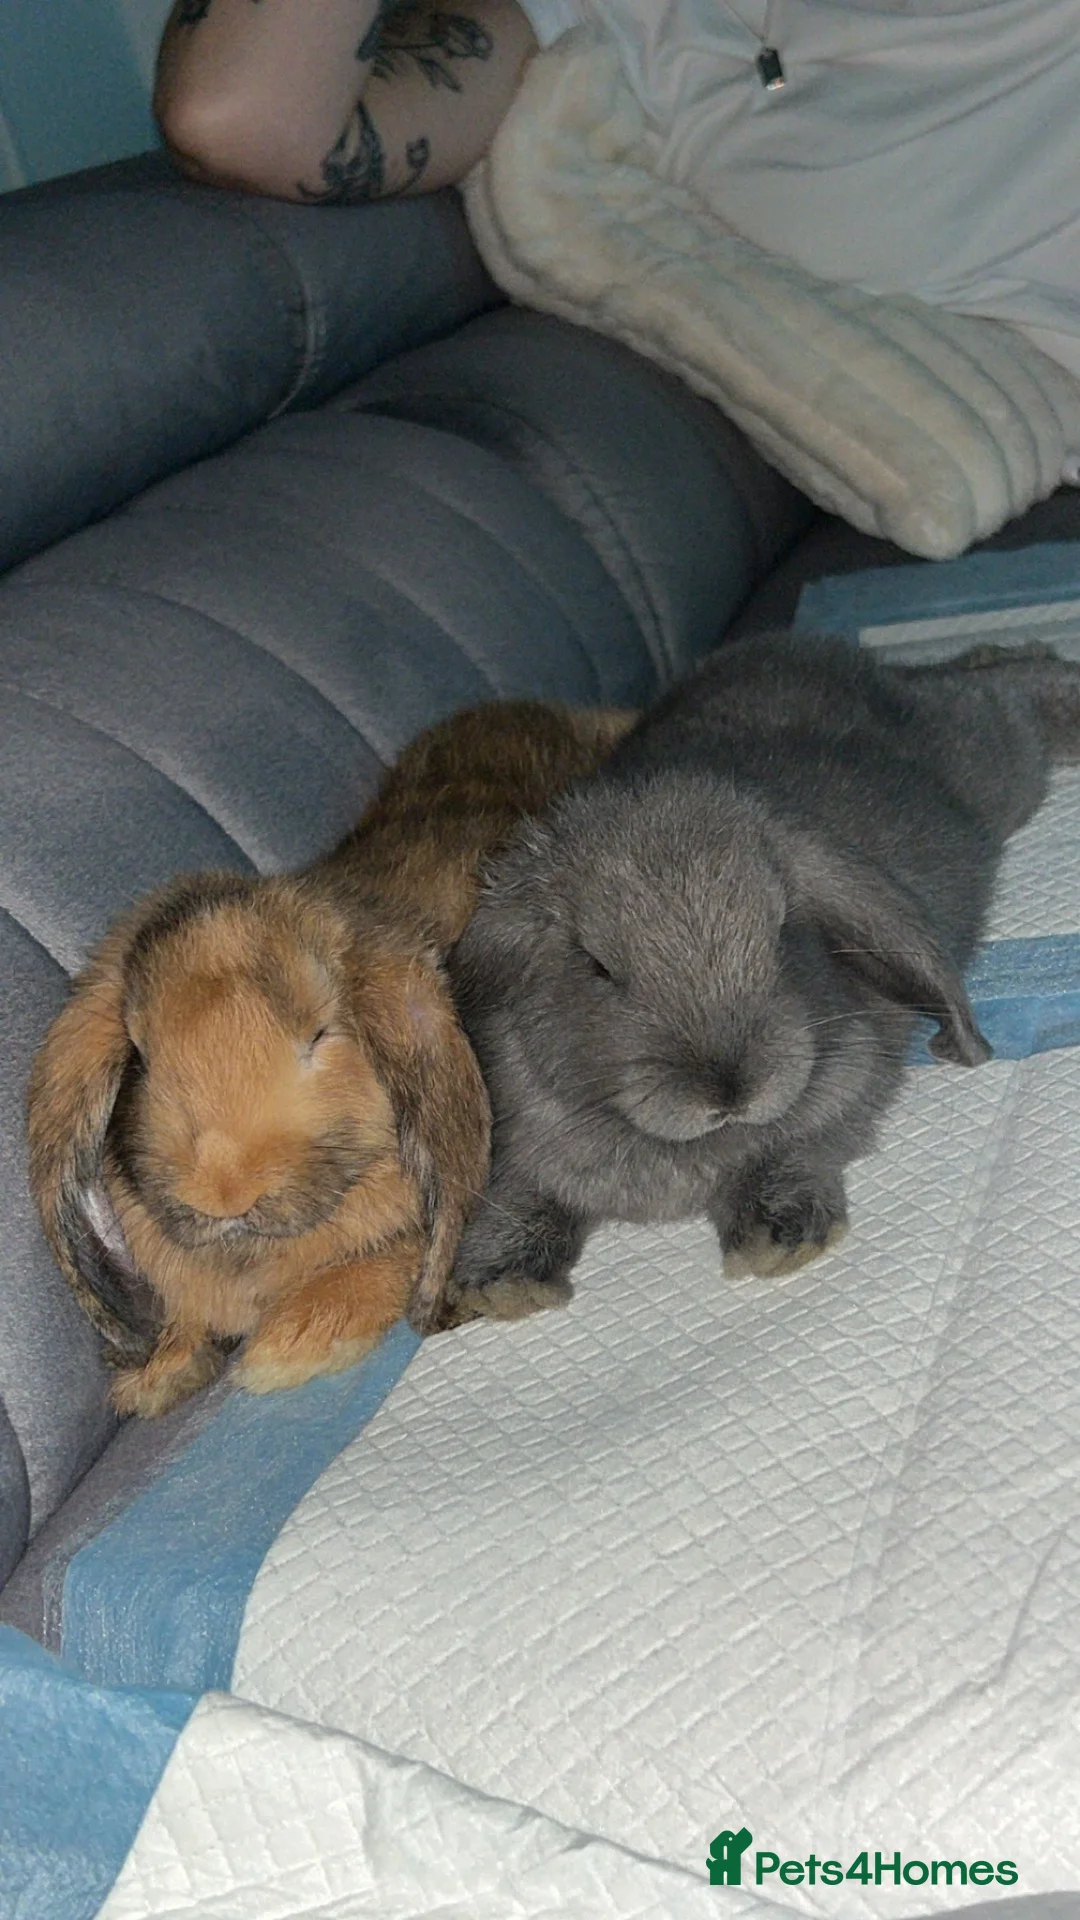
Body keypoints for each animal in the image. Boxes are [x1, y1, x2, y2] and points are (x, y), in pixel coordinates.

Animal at [27, 700, 636, 1415]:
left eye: (320, 1036)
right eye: (142, 1056)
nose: (223, 1191)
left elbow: (391, 1261)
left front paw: (292, 1345)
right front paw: (157, 1375)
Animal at [442, 634, 1080, 1323]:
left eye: (779, 933)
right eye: (596, 965)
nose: (729, 1089)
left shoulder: (841, 1091)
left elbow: (792, 1149)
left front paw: (780, 1239)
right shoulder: (519, 1143)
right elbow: (518, 1196)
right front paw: (501, 1284)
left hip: (991, 758)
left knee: (1011, 687)